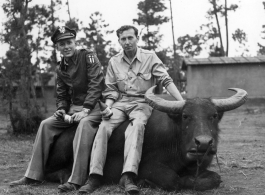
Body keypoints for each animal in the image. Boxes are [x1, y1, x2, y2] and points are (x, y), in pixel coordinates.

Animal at [44, 87, 245, 192]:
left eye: (214, 115)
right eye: (186, 116)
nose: (203, 143)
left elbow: (215, 178)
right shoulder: (147, 166)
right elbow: (173, 180)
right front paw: (144, 182)